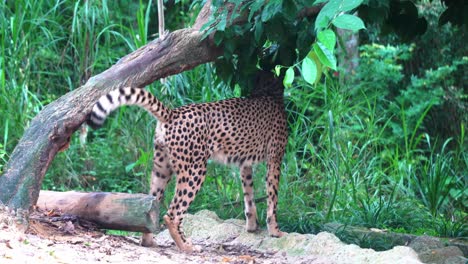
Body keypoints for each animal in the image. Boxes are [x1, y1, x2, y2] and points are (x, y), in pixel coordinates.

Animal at [86, 71, 288, 252]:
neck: (267, 91)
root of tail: (172, 112)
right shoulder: (275, 159)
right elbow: (273, 197)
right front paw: (275, 231)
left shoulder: (244, 163)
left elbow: (248, 195)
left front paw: (252, 226)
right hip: (195, 169)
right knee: (172, 214)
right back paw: (187, 246)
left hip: (161, 168)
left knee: (152, 205)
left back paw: (149, 242)